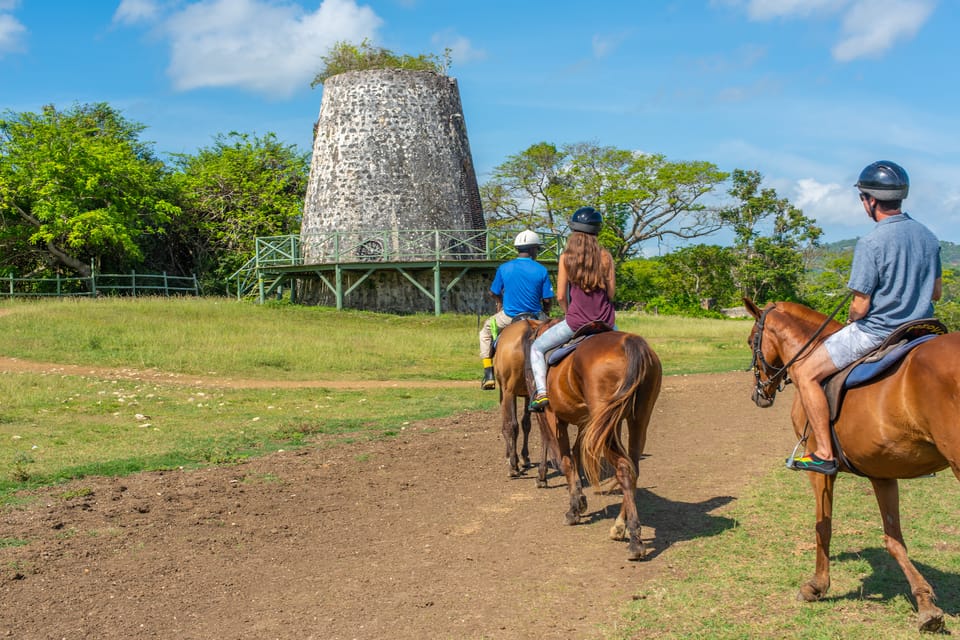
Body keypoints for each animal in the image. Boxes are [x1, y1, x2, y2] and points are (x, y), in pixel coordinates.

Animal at [520, 322, 664, 556]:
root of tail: (630, 342)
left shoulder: (554, 418)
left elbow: (567, 460)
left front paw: (574, 509)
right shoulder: (586, 424)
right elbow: (576, 456)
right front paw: (579, 501)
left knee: (624, 468)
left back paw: (634, 538)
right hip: (635, 420)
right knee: (633, 468)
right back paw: (620, 526)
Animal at [748, 298, 960, 632]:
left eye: (750, 341)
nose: (759, 394)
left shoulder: (821, 471)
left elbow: (823, 526)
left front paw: (817, 586)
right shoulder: (882, 472)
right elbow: (894, 539)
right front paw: (926, 605)